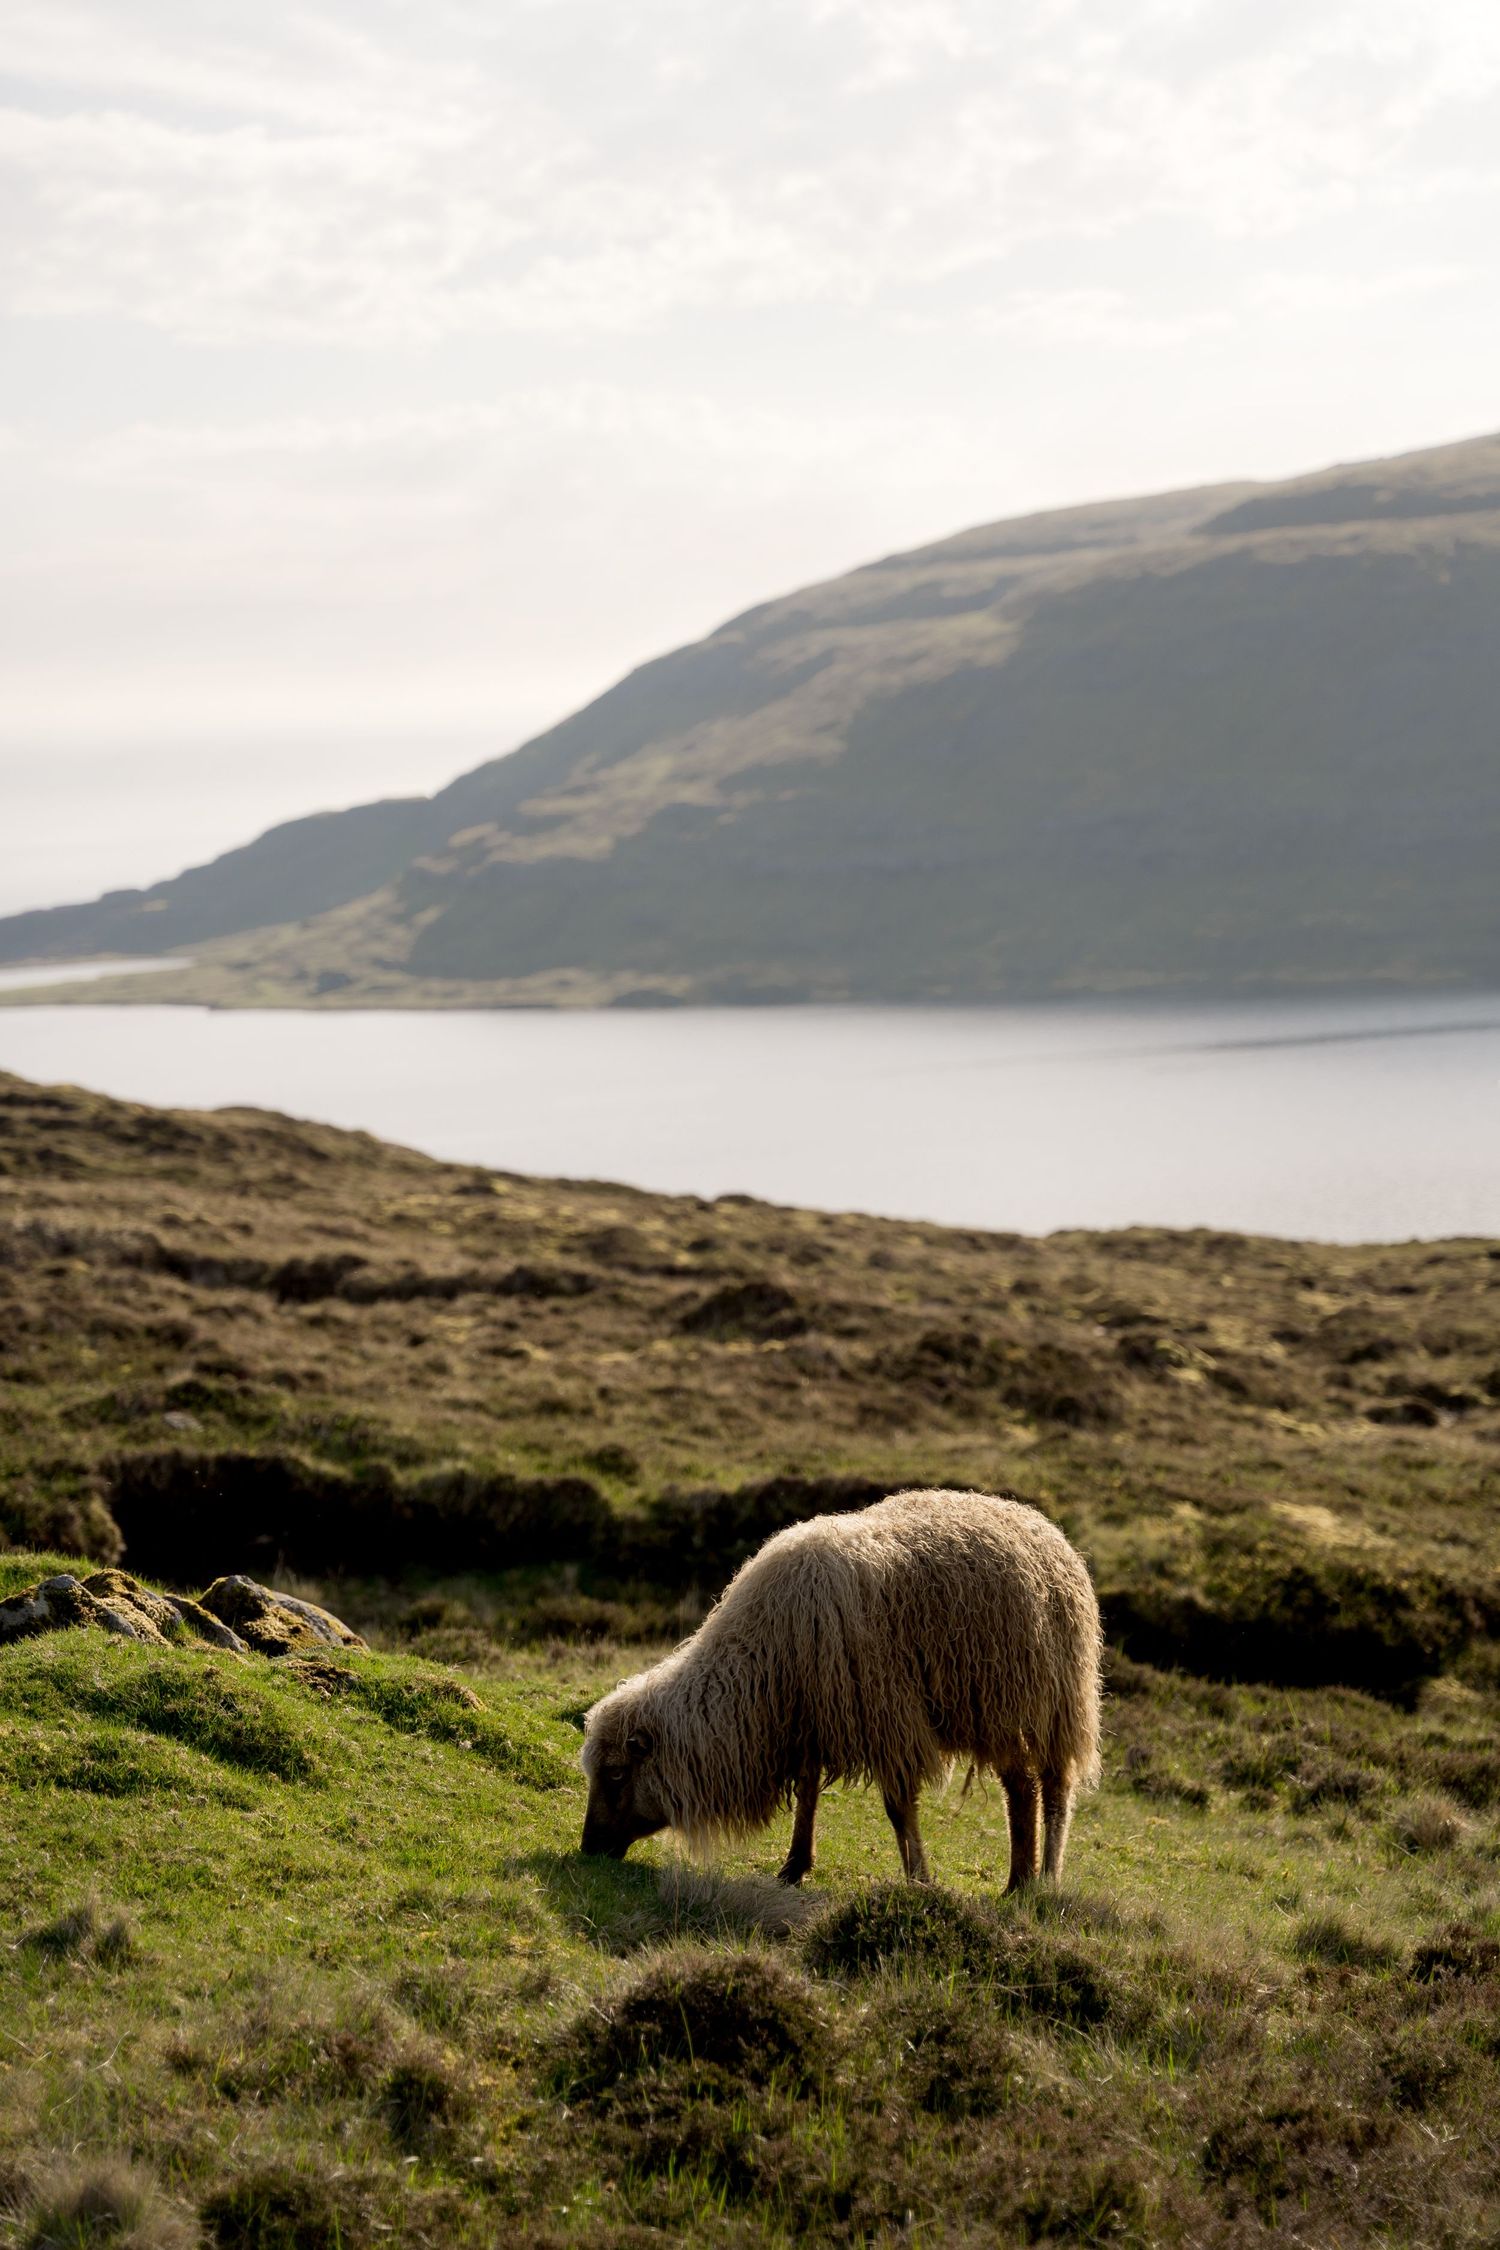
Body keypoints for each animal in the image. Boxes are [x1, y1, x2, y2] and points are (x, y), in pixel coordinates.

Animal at [580, 1487, 1102, 1889]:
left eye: (617, 1774)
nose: (588, 1850)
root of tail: (1040, 1525)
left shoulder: (885, 1717)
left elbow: (897, 1807)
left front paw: (918, 1880)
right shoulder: (809, 1717)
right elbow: (807, 1793)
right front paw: (794, 1866)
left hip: (1028, 1698)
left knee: (1044, 1792)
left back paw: (1036, 1881)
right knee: (1028, 1787)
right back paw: (1025, 1879)